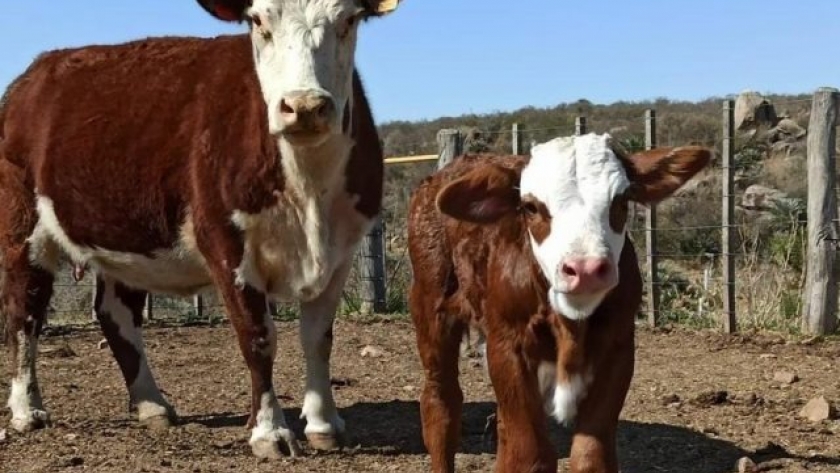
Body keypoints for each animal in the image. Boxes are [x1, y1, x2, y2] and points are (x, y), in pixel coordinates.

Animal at [0, 0, 400, 460]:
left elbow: (317, 337)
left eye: (348, 20)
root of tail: (35, 74)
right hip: (22, 225)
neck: (308, 190)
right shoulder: (226, 245)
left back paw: (152, 405)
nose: (303, 106)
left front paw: (324, 425)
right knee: (25, 311)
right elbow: (258, 338)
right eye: (258, 21)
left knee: (115, 313)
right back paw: (27, 409)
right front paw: (269, 431)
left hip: (128, 238)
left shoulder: (341, 249)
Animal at [410, 134, 712, 472]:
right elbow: (531, 454)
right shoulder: (507, 343)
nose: (586, 269)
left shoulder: (619, 344)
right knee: (441, 403)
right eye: (530, 207)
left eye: (622, 200)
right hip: (431, 308)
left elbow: (590, 454)